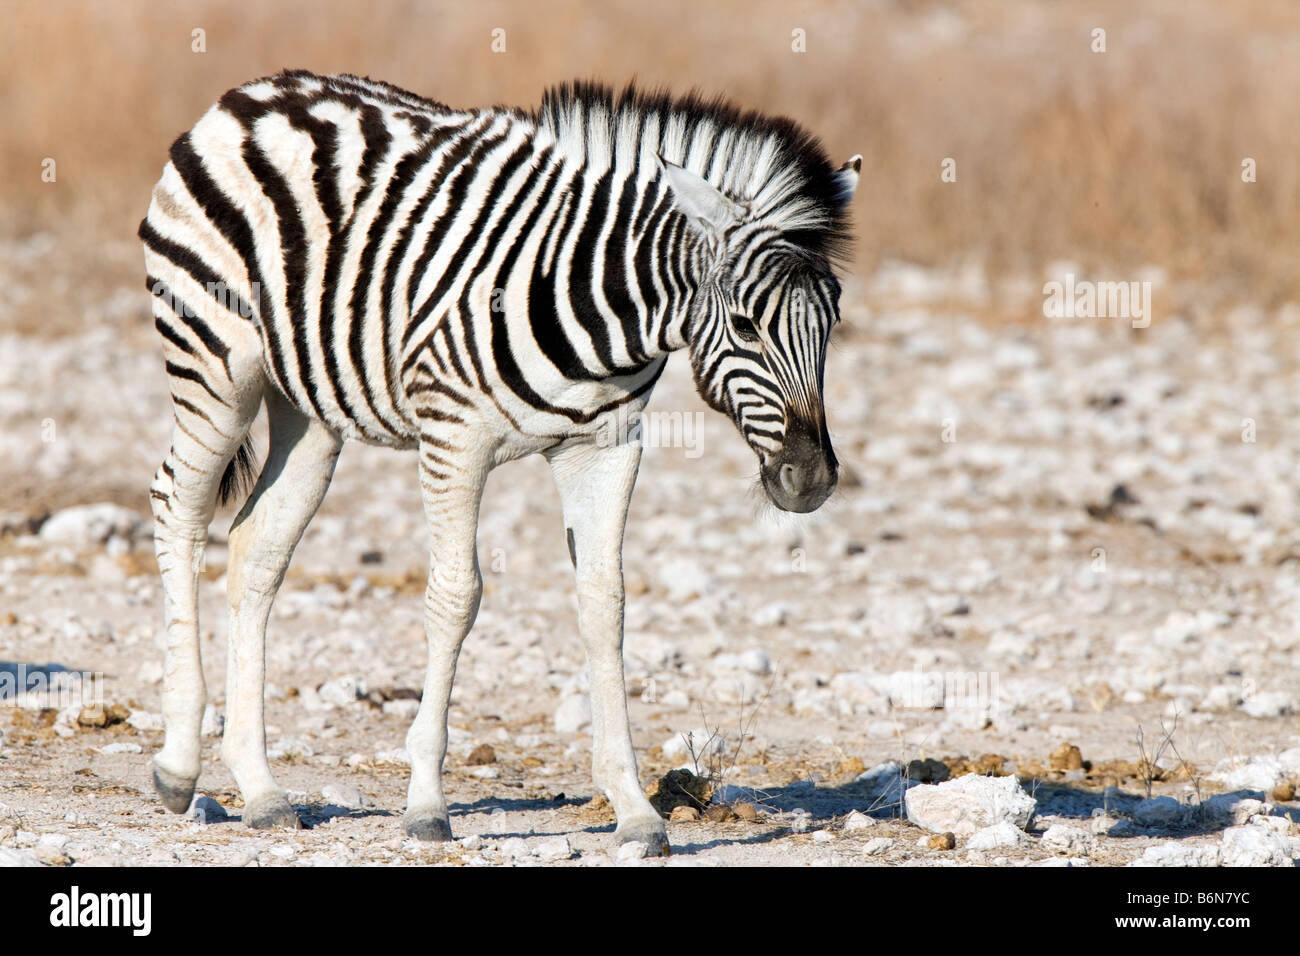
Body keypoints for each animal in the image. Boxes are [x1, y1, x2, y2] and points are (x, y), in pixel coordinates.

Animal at [142, 72, 857, 853]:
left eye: (833, 323)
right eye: (746, 326)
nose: (812, 482)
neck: (602, 309)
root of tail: (253, 93)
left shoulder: (606, 446)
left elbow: (605, 605)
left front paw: (634, 807)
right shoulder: (455, 436)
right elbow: (456, 598)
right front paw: (427, 802)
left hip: (309, 411)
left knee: (254, 551)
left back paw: (261, 787)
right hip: (214, 362)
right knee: (177, 510)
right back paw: (179, 765)